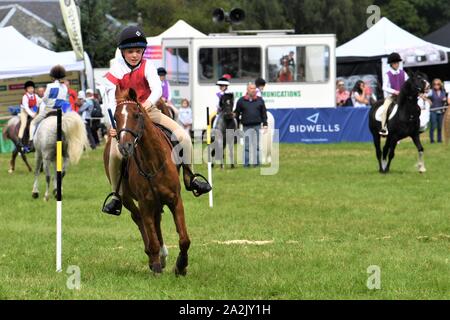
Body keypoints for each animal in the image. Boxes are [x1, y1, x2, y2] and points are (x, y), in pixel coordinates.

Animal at [104, 87, 190, 276]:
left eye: (136, 115)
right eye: (116, 117)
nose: (124, 147)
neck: (153, 161)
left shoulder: (175, 200)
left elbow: (184, 239)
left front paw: (181, 265)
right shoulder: (145, 203)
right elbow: (151, 235)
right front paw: (156, 264)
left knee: (156, 221)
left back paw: (163, 256)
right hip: (128, 198)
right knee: (139, 219)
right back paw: (154, 257)